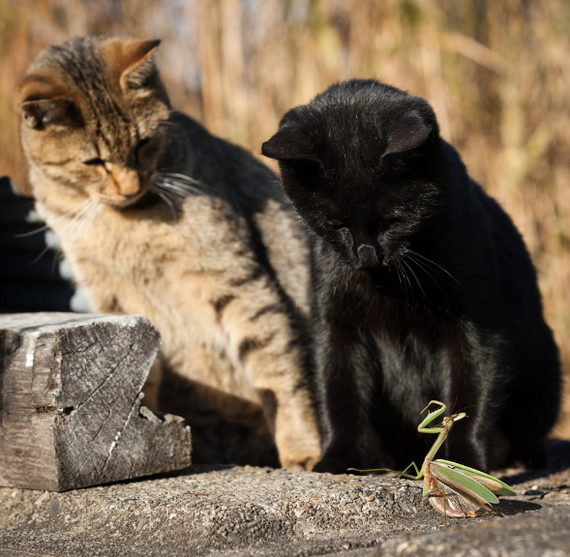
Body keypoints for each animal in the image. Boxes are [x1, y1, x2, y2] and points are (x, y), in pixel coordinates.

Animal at [16, 35, 320, 470]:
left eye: (143, 143)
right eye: (93, 161)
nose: (130, 185)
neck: (124, 223)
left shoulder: (237, 280)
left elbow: (279, 372)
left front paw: (302, 449)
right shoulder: (111, 297)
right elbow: (144, 371)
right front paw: (139, 429)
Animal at [262, 79, 560, 474]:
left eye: (393, 218)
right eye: (334, 223)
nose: (366, 254)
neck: (391, 285)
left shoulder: (479, 328)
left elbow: (471, 398)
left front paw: (465, 463)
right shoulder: (335, 325)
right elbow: (338, 396)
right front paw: (336, 460)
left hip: (543, 373)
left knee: (529, 429)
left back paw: (523, 459)